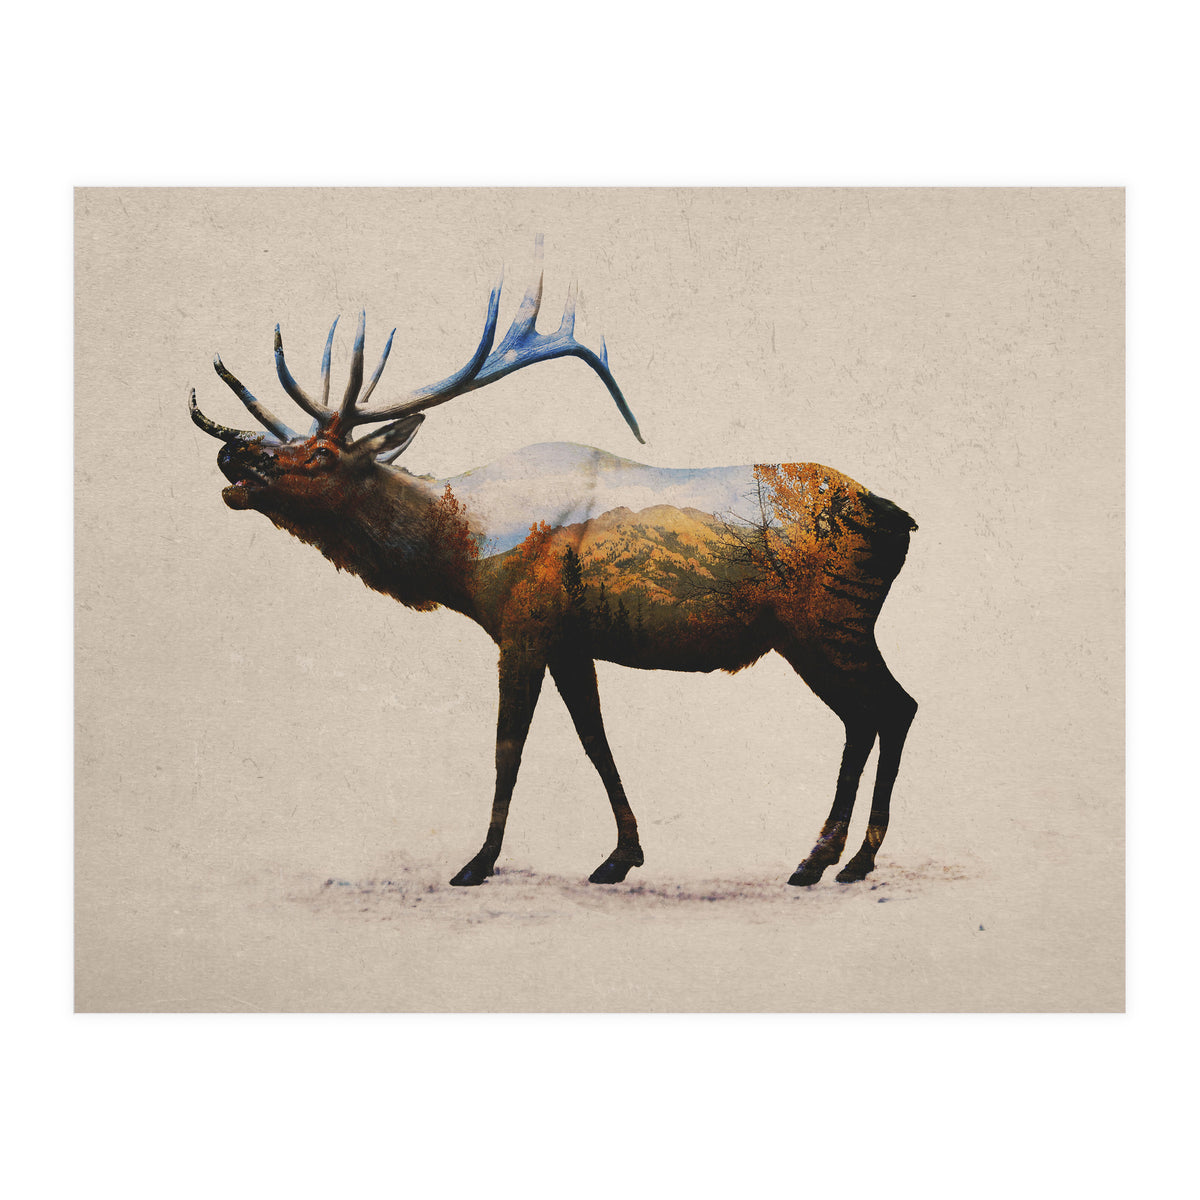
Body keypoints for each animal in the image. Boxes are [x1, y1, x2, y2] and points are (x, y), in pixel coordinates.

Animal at [189, 241, 918, 889]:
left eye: (319, 454)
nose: (233, 453)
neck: (462, 552)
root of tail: (900, 519)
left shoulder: (524, 626)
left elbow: (508, 747)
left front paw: (478, 862)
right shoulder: (571, 642)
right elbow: (596, 740)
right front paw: (621, 856)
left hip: (825, 621)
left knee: (886, 708)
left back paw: (829, 859)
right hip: (830, 629)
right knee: (880, 712)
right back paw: (842, 859)